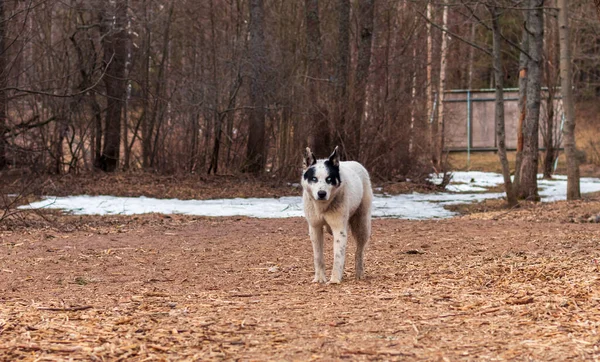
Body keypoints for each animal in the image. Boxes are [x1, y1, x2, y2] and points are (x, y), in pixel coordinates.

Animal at [302, 146, 372, 284]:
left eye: (329, 179)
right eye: (314, 179)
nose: (322, 193)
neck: (322, 207)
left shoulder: (339, 228)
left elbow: (338, 256)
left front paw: (334, 279)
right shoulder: (315, 228)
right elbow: (318, 257)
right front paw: (319, 279)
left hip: (362, 225)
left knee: (359, 251)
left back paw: (359, 273)